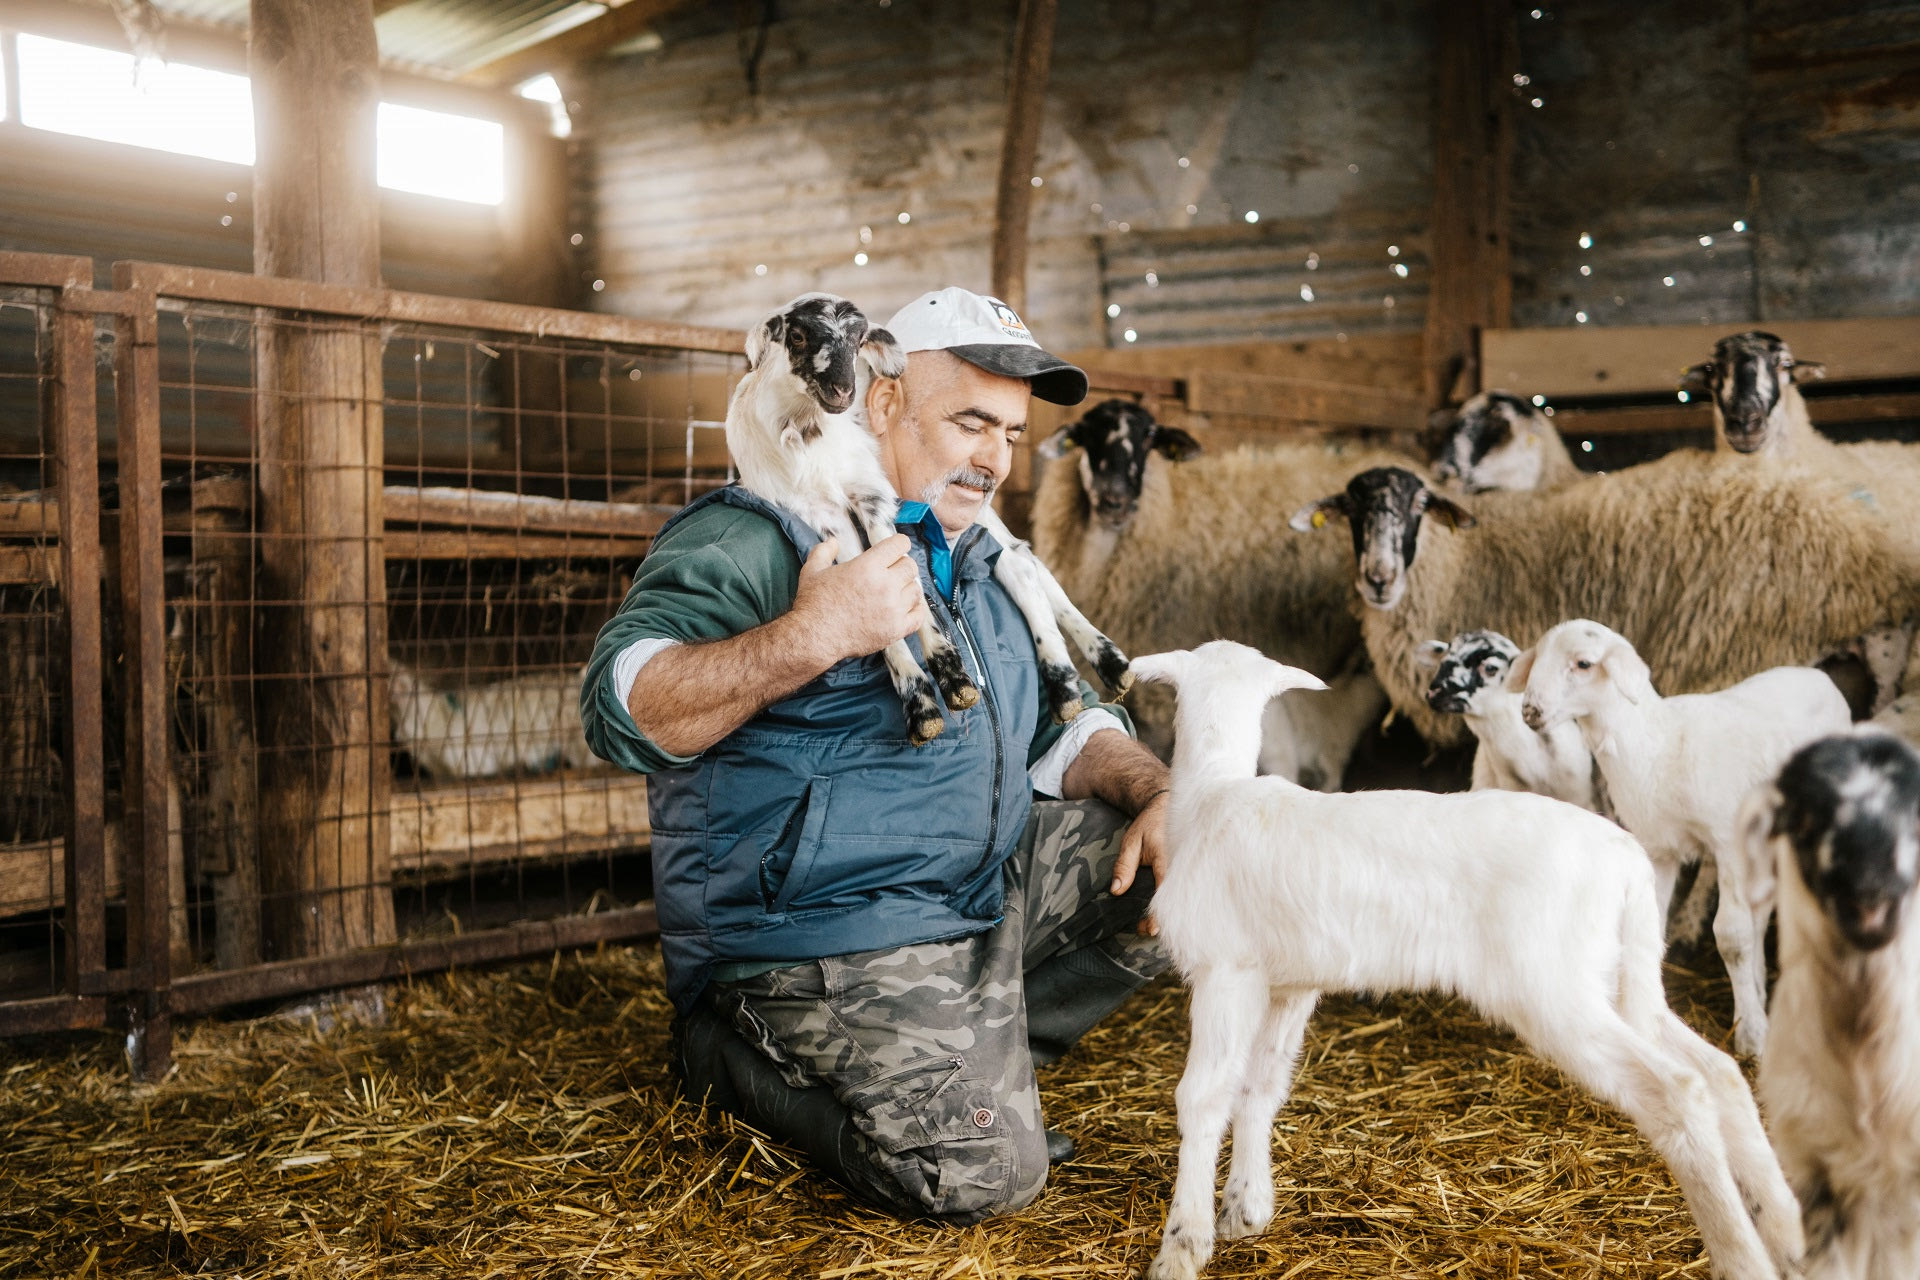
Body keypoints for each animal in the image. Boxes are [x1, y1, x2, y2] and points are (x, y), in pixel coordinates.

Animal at [1128, 644, 1804, 1280]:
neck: (1211, 797)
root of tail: (1628, 862)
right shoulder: (1288, 983)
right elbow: (1261, 1084)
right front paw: (1245, 1210)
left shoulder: (1225, 969)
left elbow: (1203, 1095)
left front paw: (1182, 1247)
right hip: (1615, 977)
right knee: (1719, 1073)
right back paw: (1785, 1233)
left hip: (1553, 987)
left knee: (1679, 1091)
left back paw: (1741, 1255)